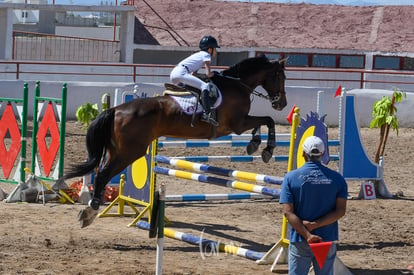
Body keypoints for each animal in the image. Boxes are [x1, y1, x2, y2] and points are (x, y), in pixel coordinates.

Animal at [64, 54, 288, 229]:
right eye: (281, 76)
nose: (282, 104)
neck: (238, 85)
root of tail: (116, 109)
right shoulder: (238, 124)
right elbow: (267, 120)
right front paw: (267, 149)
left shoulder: (240, 124)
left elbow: (262, 123)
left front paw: (254, 144)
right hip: (131, 152)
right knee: (103, 174)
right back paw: (91, 211)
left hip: (117, 150)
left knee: (102, 173)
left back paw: (90, 210)